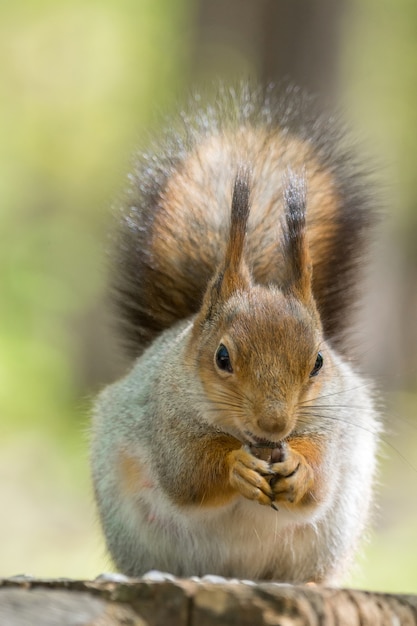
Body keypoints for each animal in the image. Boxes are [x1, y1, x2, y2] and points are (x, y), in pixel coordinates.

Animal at [91, 83, 380, 580]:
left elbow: (320, 480)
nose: (275, 423)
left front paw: (300, 469)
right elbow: (188, 474)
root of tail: (233, 575)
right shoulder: (163, 419)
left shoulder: (332, 423)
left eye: (318, 361)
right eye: (222, 357)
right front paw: (235, 467)